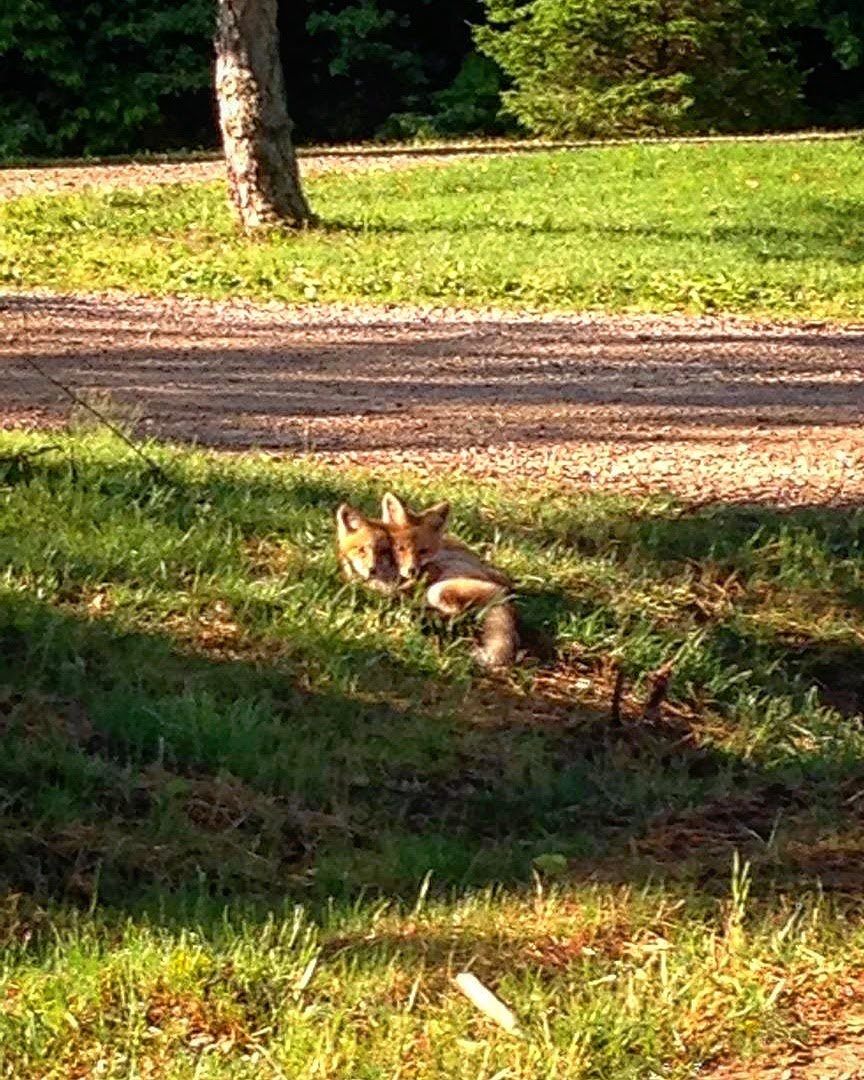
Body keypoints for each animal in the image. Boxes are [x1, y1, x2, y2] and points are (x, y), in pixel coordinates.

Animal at [379, 492, 519, 668]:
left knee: (454, 613)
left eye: (423, 551)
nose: (412, 570)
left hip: (440, 589)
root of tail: (508, 595)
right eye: (400, 549)